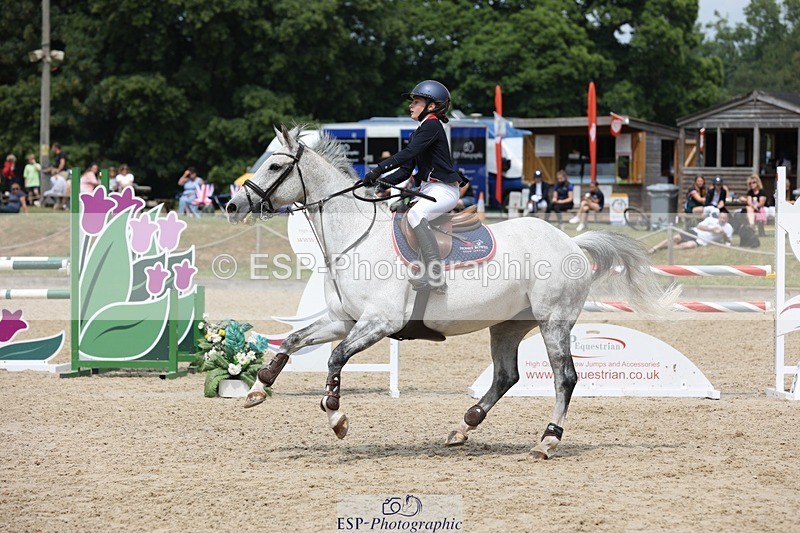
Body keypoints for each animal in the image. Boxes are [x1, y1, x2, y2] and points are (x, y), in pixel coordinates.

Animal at [226, 126, 678, 459]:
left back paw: (547, 440)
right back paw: (464, 426)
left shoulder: (378, 323)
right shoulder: (344, 320)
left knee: (564, 377)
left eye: (275, 165)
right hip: (507, 325)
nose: (232, 206)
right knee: (506, 375)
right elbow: (294, 340)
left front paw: (336, 418)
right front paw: (258, 388)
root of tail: (571, 242)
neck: (355, 237)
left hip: (554, 321)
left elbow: (335, 359)